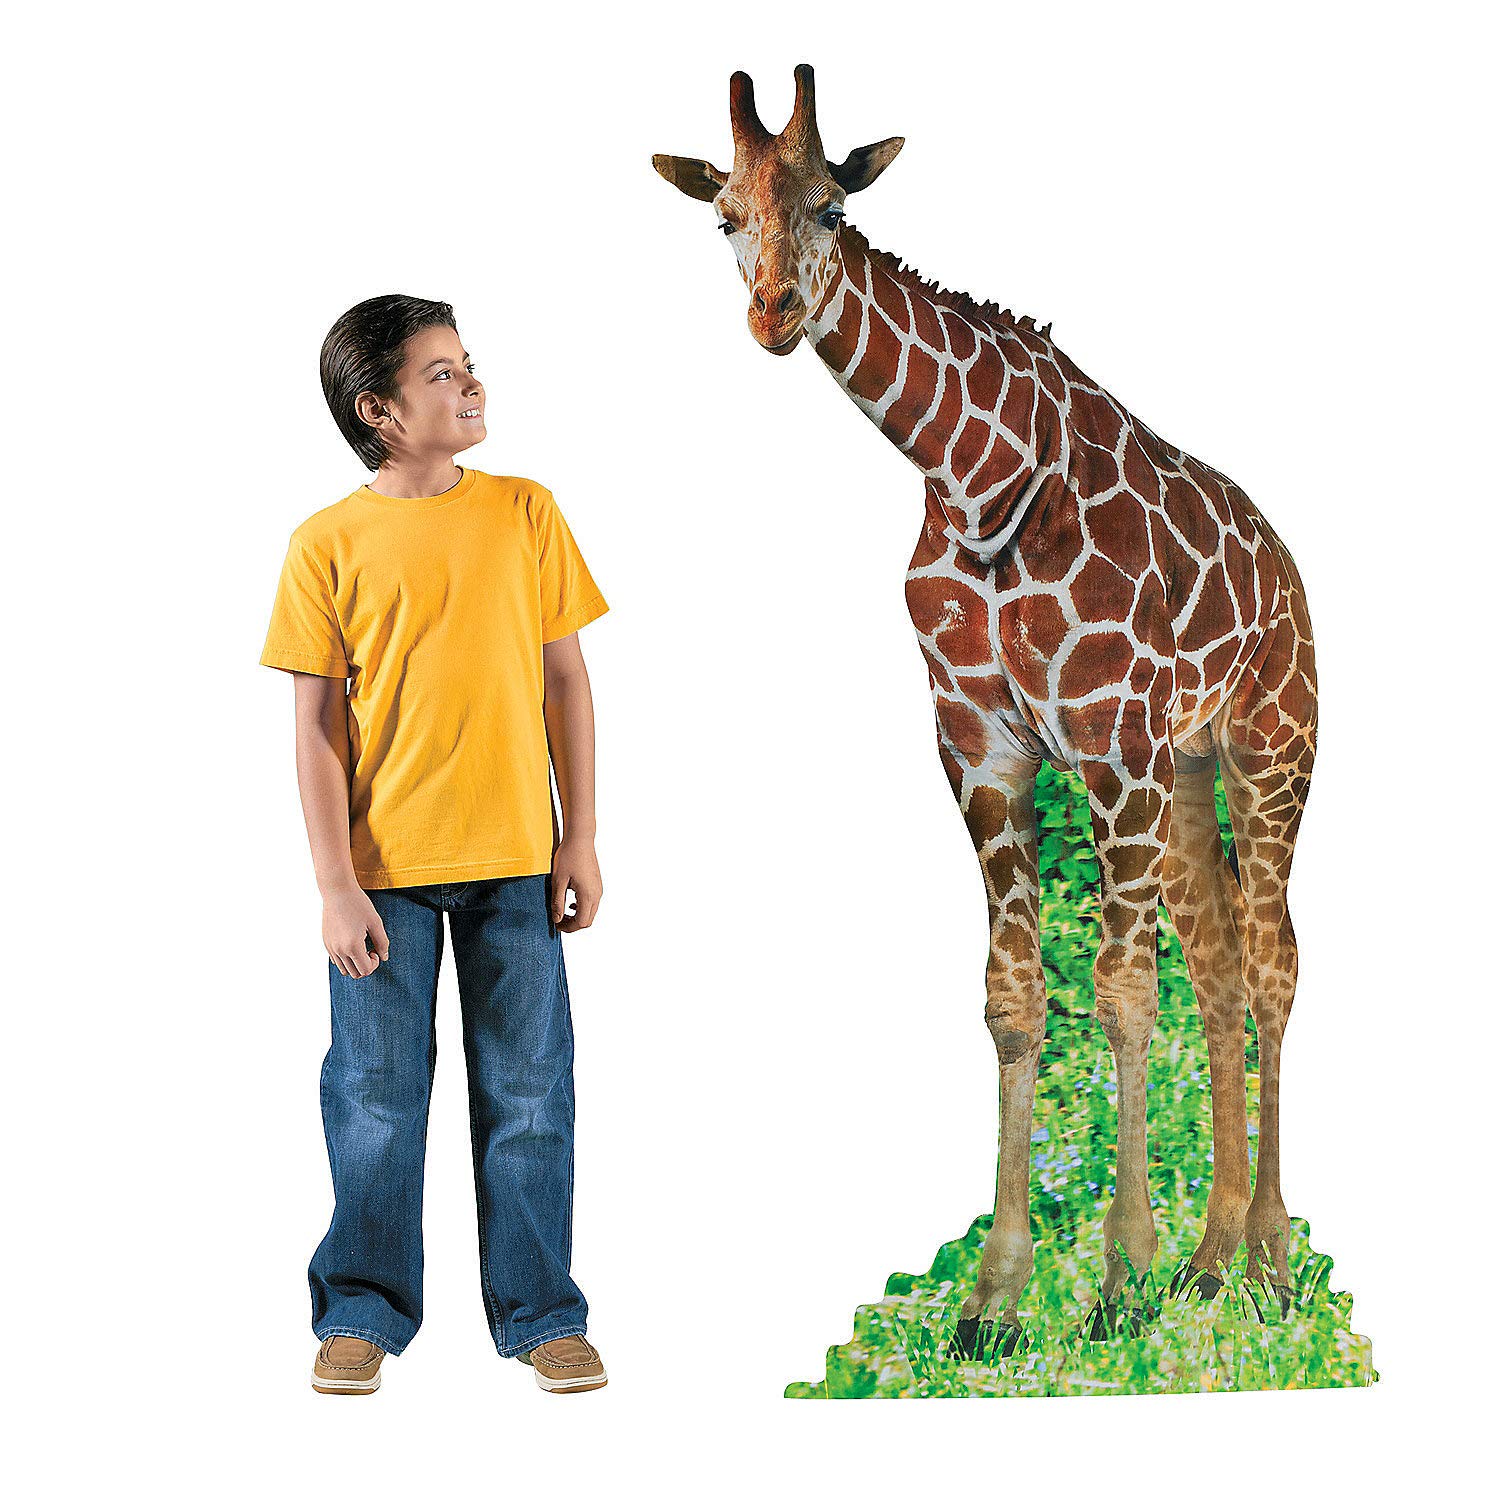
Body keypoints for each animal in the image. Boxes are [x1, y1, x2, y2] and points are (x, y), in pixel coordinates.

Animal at [654, 65, 1318, 1355]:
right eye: (722, 219)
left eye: (832, 208)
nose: (772, 314)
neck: (969, 479)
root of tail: (1292, 568)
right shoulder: (984, 749)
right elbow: (1015, 1002)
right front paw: (994, 1301)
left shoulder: (1109, 741)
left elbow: (1121, 994)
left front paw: (1117, 1283)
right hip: (1192, 770)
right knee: (1222, 964)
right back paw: (1212, 1266)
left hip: (1272, 749)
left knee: (1273, 963)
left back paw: (1265, 1262)